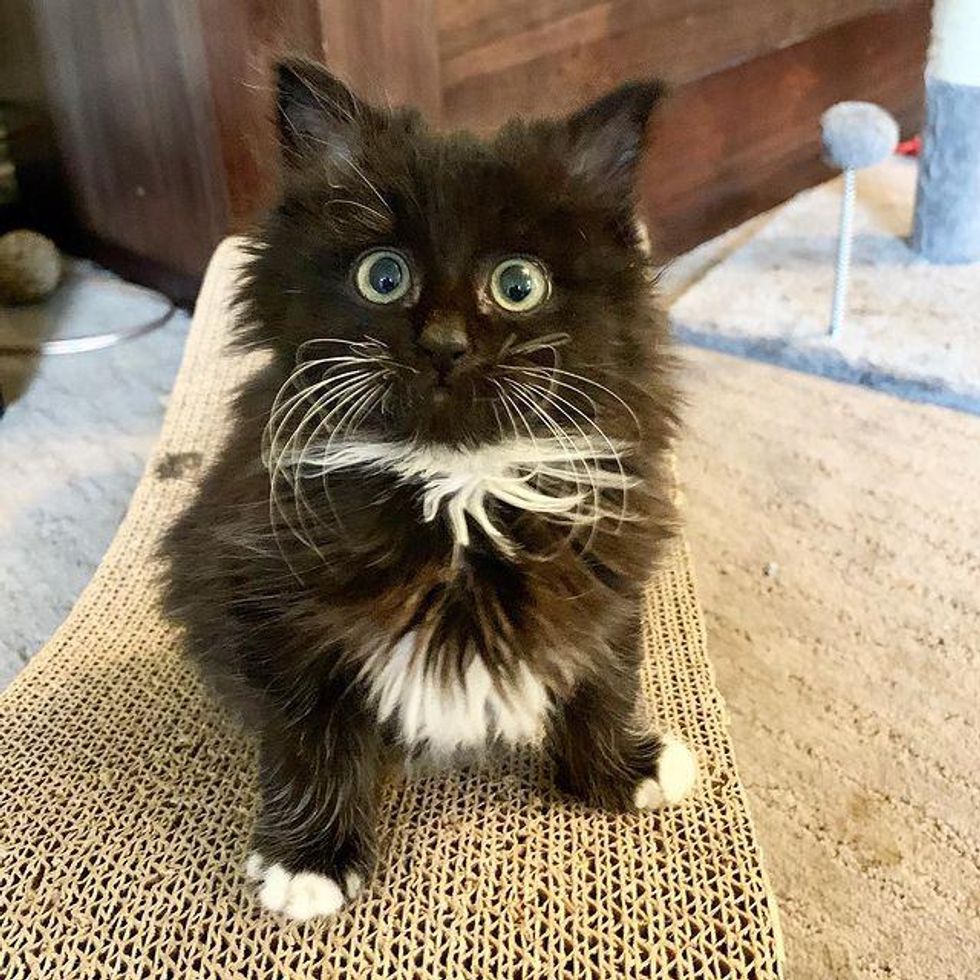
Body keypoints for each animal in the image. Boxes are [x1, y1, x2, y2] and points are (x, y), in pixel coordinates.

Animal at [163, 59, 696, 920]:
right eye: (384, 277)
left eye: (518, 284)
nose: (444, 343)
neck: (458, 493)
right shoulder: (271, 607)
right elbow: (311, 737)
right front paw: (310, 859)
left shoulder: (608, 573)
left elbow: (602, 679)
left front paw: (622, 770)